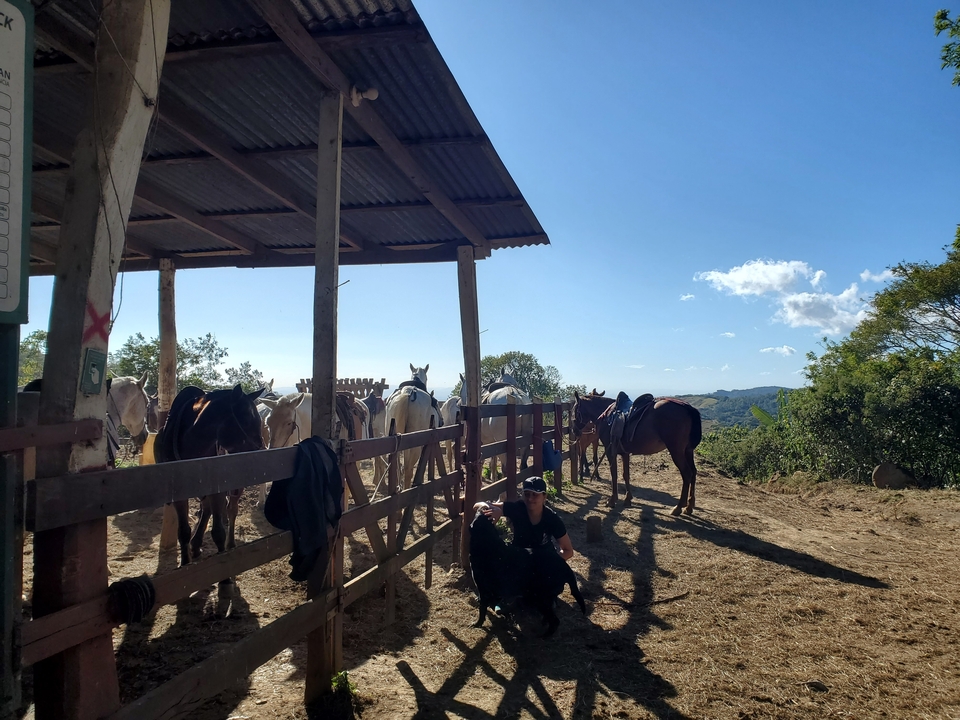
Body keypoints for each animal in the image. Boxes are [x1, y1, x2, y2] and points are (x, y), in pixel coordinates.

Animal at [154, 384, 265, 567]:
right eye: (248, 419)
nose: (262, 452)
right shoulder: (179, 494)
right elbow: (184, 530)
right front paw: (185, 562)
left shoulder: (217, 489)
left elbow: (218, 531)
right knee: (207, 509)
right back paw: (196, 544)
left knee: (231, 510)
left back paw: (229, 543)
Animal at [570, 391, 702, 514]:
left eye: (575, 410)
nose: (574, 430)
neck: (607, 417)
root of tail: (688, 408)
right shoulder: (624, 453)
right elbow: (626, 474)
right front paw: (628, 499)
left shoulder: (611, 451)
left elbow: (614, 474)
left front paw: (612, 500)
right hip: (687, 451)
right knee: (694, 472)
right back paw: (689, 507)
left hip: (676, 451)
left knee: (687, 474)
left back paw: (678, 507)